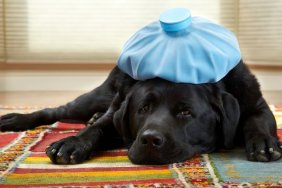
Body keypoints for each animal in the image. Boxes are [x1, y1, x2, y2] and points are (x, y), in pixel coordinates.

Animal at [0, 61, 280, 164]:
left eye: (186, 112)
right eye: (143, 109)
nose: (149, 140)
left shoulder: (255, 103)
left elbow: (257, 122)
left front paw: (264, 144)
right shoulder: (117, 111)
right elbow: (97, 129)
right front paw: (72, 143)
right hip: (96, 97)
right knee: (57, 110)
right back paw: (14, 119)